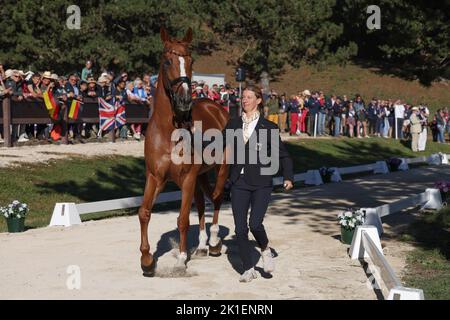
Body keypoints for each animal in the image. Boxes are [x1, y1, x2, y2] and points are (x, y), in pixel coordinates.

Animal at [138, 27, 230, 276]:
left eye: (191, 61)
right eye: (167, 61)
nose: (185, 99)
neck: (168, 131)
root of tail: (218, 108)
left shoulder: (187, 178)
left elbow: (182, 220)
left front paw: (180, 260)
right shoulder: (155, 177)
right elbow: (144, 212)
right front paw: (147, 260)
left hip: (220, 169)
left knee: (217, 198)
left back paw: (214, 242)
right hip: (200, 176)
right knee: (202, 203)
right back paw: (201, 246)